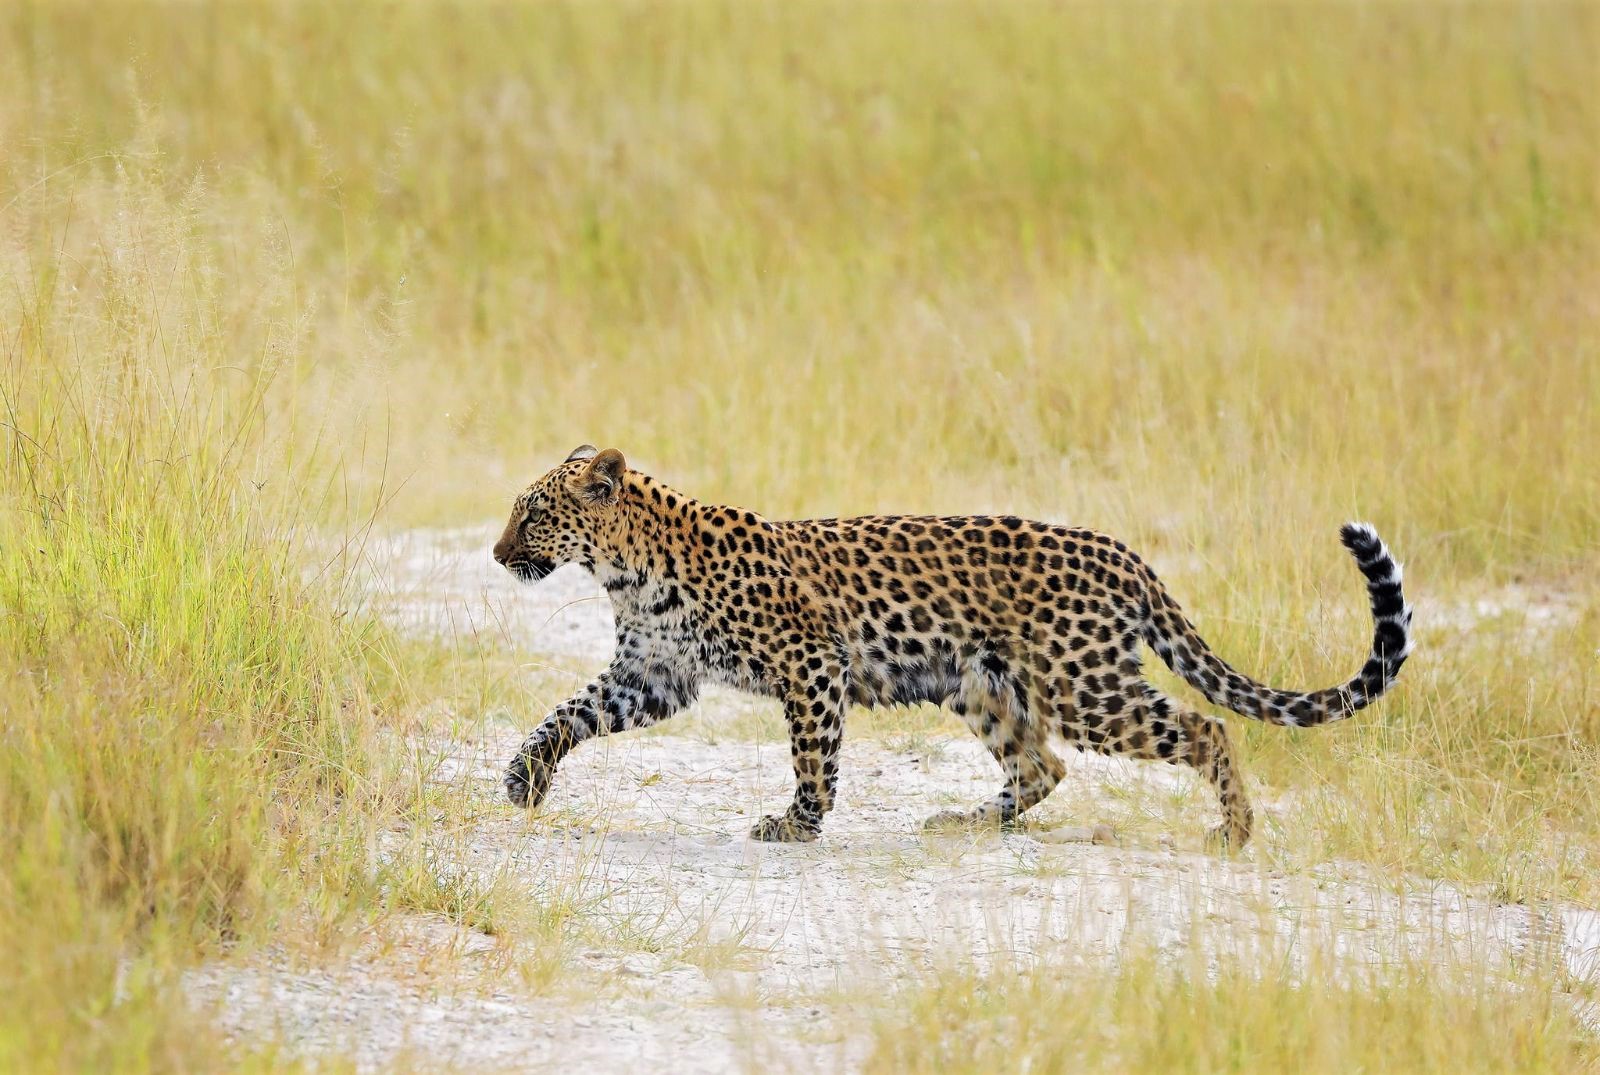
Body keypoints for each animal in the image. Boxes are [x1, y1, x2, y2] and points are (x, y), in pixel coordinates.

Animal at [493, 445, 1412, 849]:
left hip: (1083, 684)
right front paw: (523, 776)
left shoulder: (810, 661)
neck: (625, 568)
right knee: (1043, 765)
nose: (499, 555)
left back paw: (1234, 828)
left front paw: (798, 823)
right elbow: (569, 712)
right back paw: (962, 820)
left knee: (1204, 727)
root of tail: (1122, 552)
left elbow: (813, 755)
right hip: (985, 684)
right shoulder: (653, 672)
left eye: (532, 513)